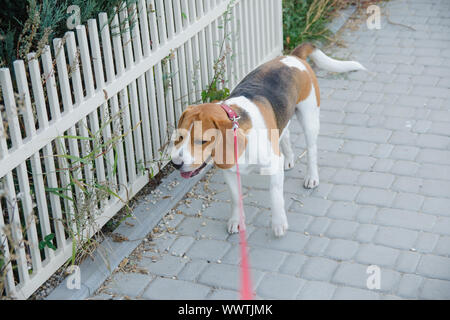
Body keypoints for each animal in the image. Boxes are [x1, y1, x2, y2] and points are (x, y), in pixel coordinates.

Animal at [170, 43, 366, 238]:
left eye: (202, 141)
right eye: (179, 137)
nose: (175, 164)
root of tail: (293, 56)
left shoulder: (272, 164)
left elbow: (275, 196)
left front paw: (279, 224)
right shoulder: (230, 171)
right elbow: (235, 198)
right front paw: (236, 221)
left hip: (309, 117)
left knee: (311, 149)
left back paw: (311, 177)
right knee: (285, 134)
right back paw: (289, 159)